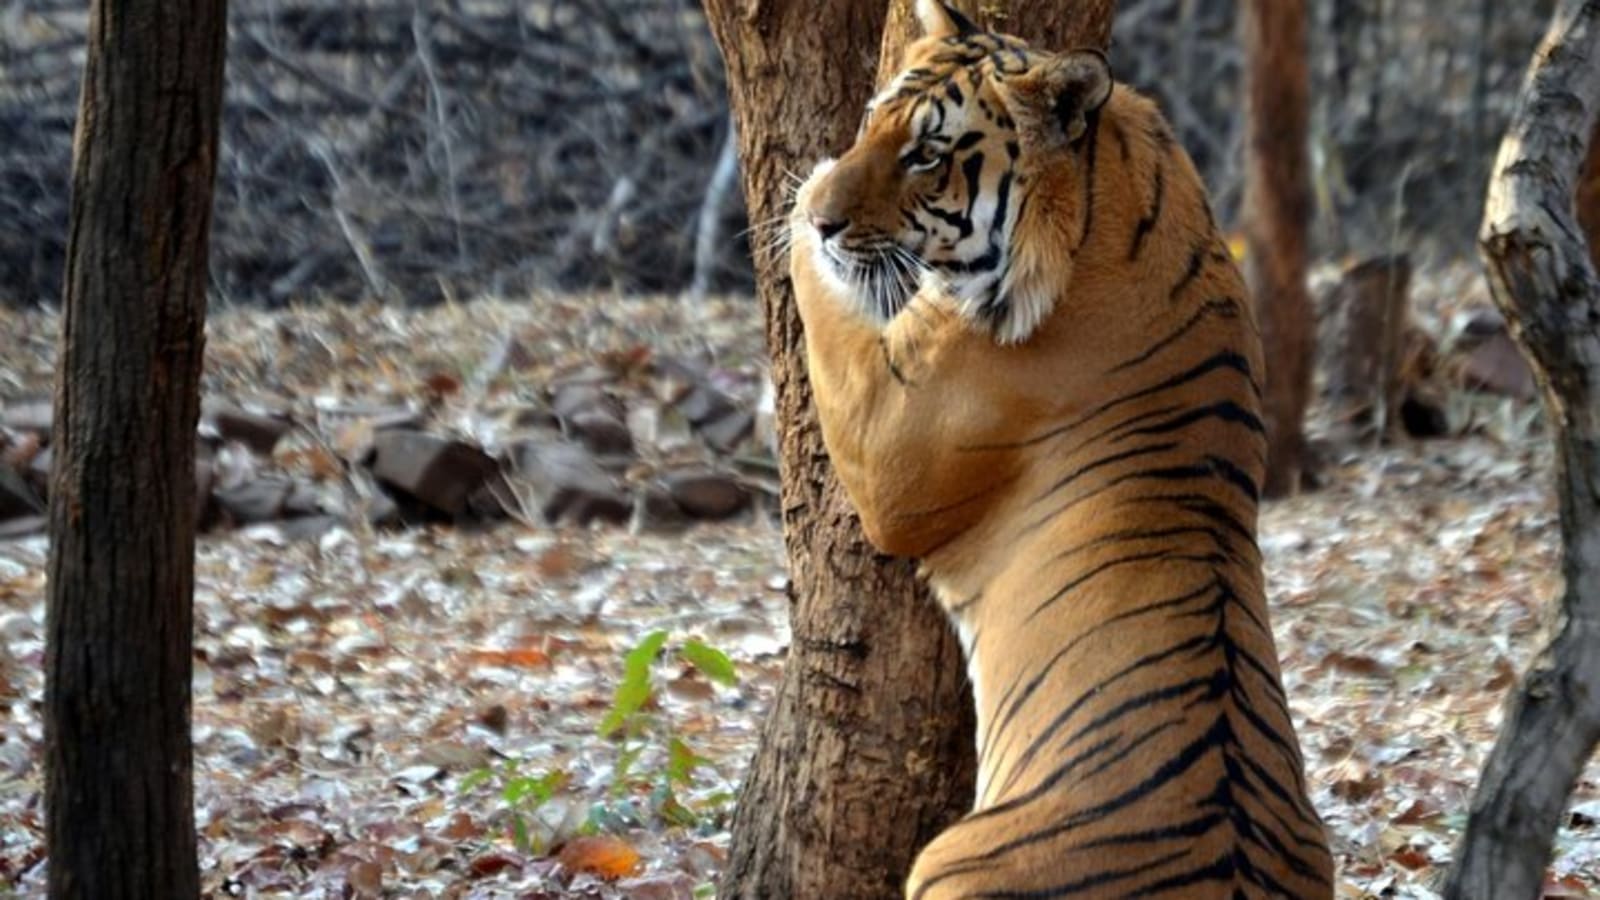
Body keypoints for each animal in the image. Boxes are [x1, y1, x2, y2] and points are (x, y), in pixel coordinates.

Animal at [786, 2, 1336, 897]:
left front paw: (801, 199)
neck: (1111, 192)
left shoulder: (887, 436)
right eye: (873, 121)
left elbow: (826, 301)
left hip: (945, 861)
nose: (824, 220)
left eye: (927, 155)